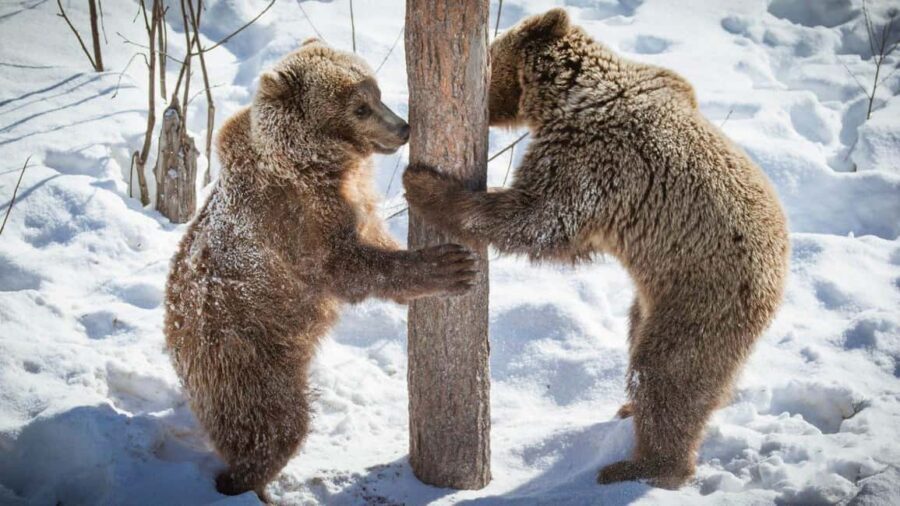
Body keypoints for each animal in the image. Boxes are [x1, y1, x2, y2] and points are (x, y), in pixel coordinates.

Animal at [164, 40, 476, 500]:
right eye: (359, 107)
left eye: (376, 93)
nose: (402, 128)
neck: (318, 165)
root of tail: (175, 343)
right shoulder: (293, 221)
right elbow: (346, 267)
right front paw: (448, 266)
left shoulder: (351, 199)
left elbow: (371, 236)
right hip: (245, 356)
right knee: (274, 426)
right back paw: (244, 482)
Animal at [403, 9, 789, 489]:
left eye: (490, 63)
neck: (570, 96)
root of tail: (779, 278)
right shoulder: (661, 86)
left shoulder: (594, 159)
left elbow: (540, 218)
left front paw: (425, 185)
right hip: (654, 299)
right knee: (654, 348)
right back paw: (633, 411)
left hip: (702, 298)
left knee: (666, 374)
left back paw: (643, 465)